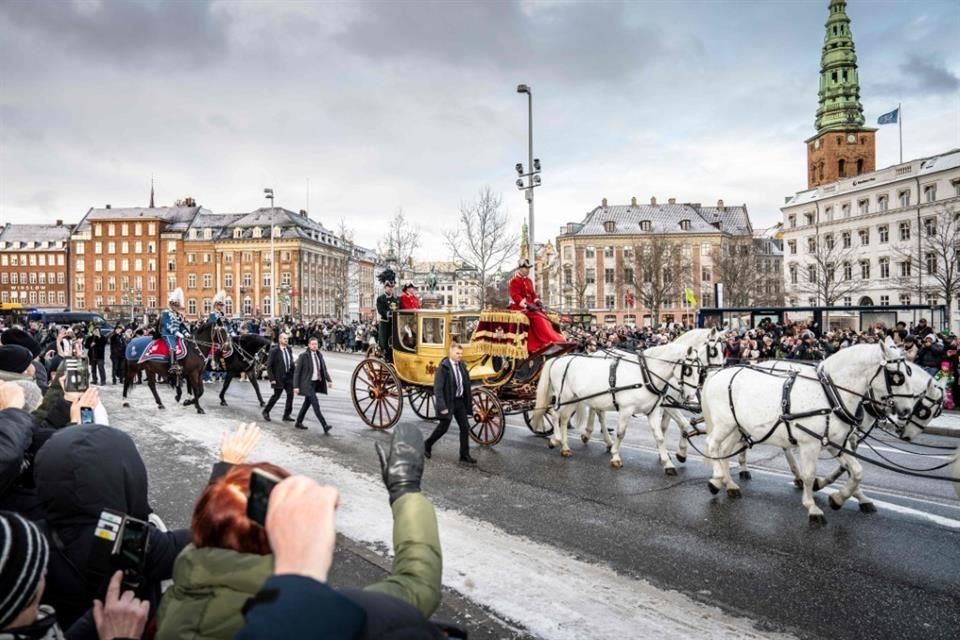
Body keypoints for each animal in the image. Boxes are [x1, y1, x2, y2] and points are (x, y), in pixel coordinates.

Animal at [700, 342, 920, 528]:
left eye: (909, 373)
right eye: (897, 376)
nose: (907, 411)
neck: (830, 393)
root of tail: (718, 373)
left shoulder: (836, 442)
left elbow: (856, 471)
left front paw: (838, 498)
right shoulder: (810, 444)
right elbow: (808, 475)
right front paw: (813, 507)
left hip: (737, 427)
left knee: (724, 450)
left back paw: (728, 484)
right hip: (725, 424)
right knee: (712, 444)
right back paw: (717, 477)